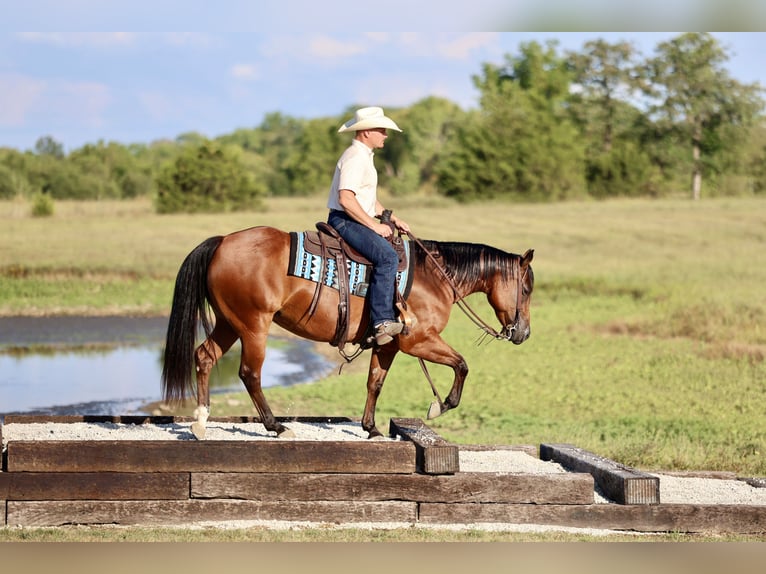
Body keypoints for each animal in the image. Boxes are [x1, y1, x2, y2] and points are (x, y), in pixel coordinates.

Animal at [161, 225, 534, 440]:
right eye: (527, 289)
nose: (524, 333)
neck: (435, 277)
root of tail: (222, 242)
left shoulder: (388, 345)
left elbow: (375, 382)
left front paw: (371, 428)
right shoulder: (418, 341)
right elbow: (461, 364)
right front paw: (441, 406)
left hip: (229, 323)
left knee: (205, 356)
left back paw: (201, 422)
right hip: (254, 326)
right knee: (249, 373)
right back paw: (275, 426)